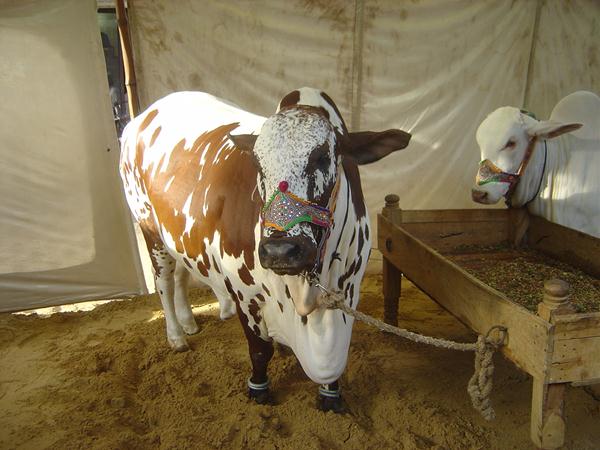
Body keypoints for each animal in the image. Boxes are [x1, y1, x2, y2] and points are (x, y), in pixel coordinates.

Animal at [119, 88, 411, 411]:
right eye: (258, 165)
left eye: (322, 157)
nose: (280, 250)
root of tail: (142, 117)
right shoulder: (243, 291)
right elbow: (259, 350)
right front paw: (259, 389)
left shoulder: (348, 292)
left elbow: (338, 358)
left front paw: (330, 395)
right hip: (148, 226)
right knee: (164, 282)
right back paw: (176, 335)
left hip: (177, 235)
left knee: (182, 274)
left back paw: (189, 323)